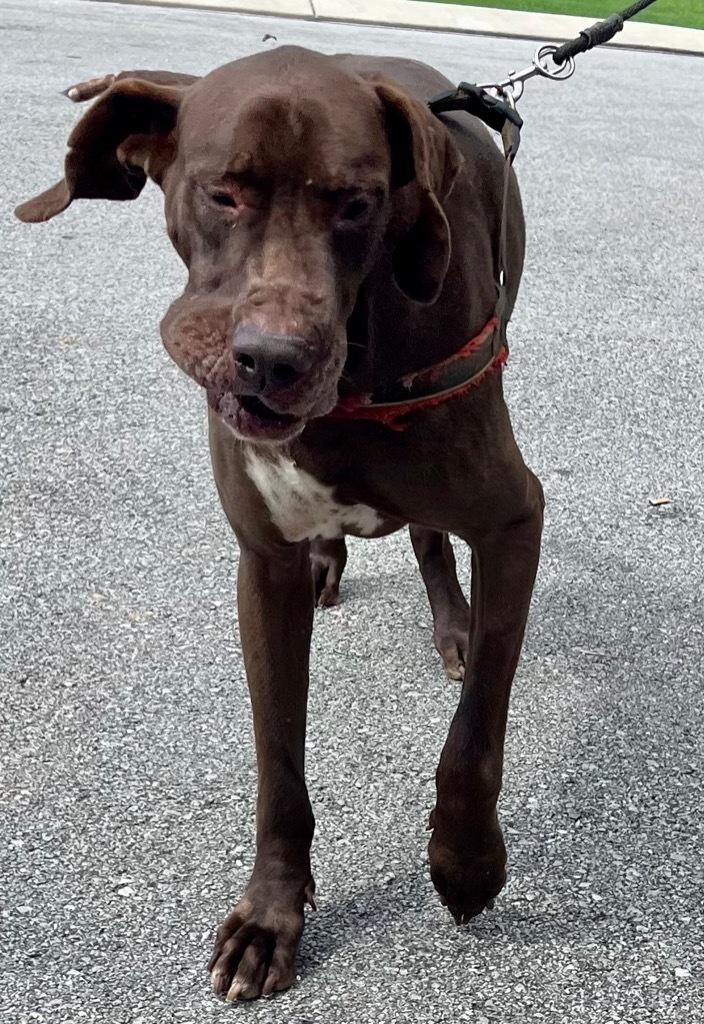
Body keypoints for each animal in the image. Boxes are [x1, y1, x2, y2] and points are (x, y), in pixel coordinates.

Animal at [15, 46, 544, 999]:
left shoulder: (517, 518)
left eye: (358, 204)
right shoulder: (261, 565)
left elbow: (478, 728)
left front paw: (466, 861)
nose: (273, 360)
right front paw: (270, 917)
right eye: (223, 192)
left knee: (431, 540)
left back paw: (451, 622)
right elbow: (279, 764)